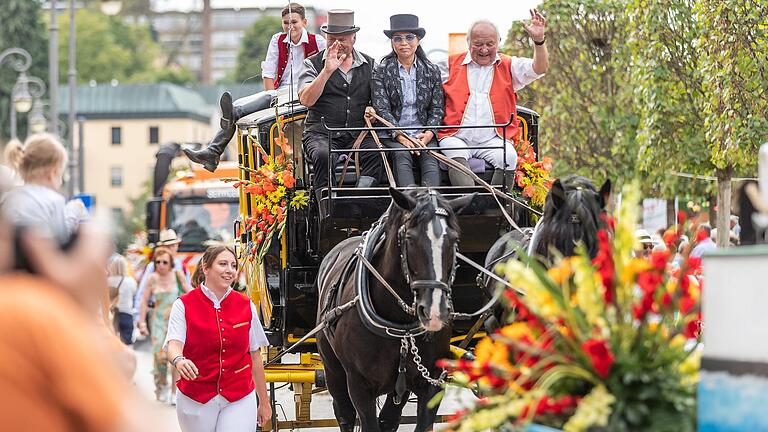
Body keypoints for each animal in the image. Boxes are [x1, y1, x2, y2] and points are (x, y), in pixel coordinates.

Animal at [316, 189, 474, 432]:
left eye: (454, 239)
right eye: (410, 239)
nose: (434, 312)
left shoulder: (432, 381)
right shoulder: (359, 386)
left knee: (389, 418)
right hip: (332, 367)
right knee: (344, 412)